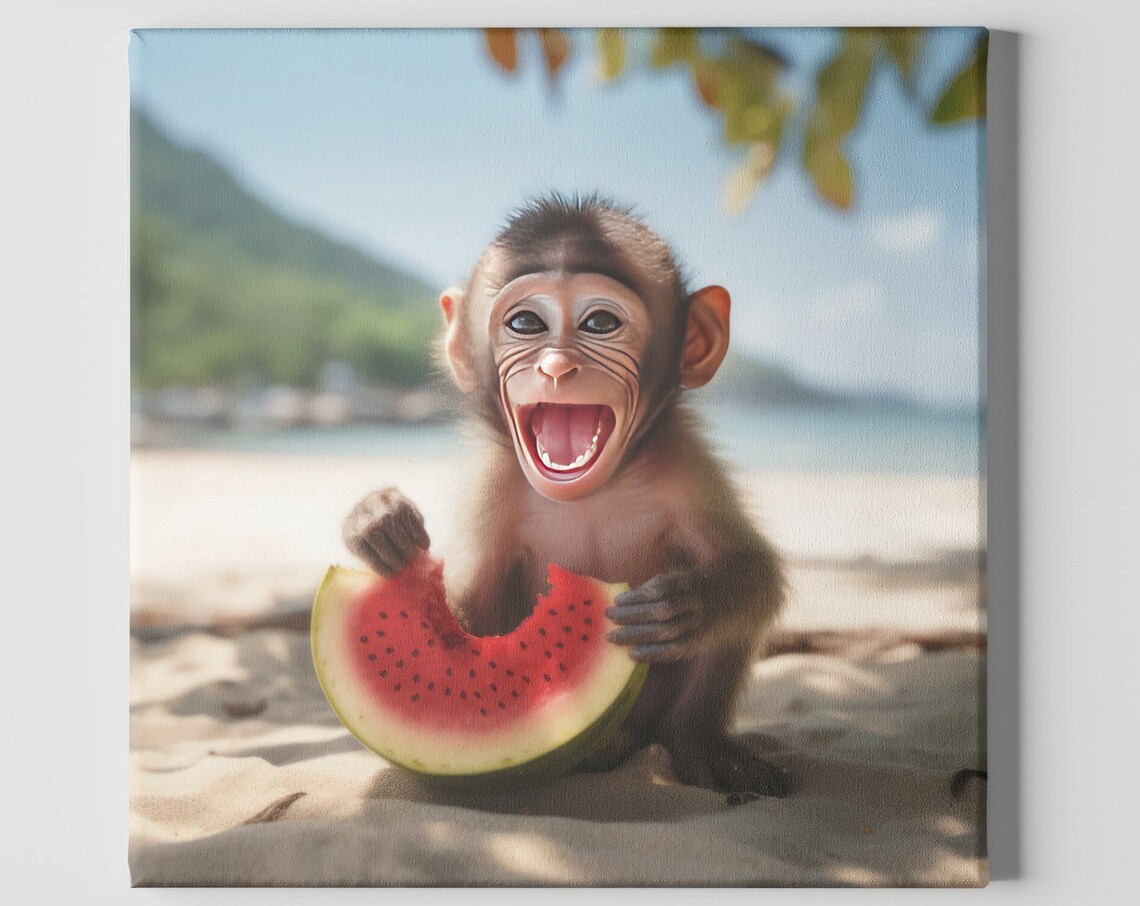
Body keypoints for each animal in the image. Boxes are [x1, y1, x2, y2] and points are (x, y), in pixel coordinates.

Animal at [342, 194, 790, 797]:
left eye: (600, 322)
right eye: (525, 323)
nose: (556, 366)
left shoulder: (686, 464)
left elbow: (753, 568)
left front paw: (687, 605)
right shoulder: (495, 484)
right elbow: (469, 611)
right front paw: (376, 523)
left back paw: (696, 742)